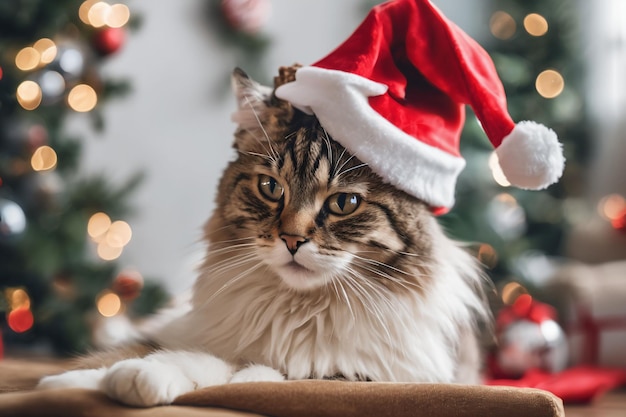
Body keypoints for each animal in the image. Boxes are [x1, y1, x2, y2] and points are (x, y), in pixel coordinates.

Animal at [36, 68, 490, 406]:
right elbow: (154, 354)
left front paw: (144, 378)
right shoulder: (183, 329)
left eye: (344, 202)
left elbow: (256, 373)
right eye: (271, 188)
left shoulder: (363, 375)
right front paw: (75, 383)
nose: (292, 240)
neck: (299, 312)